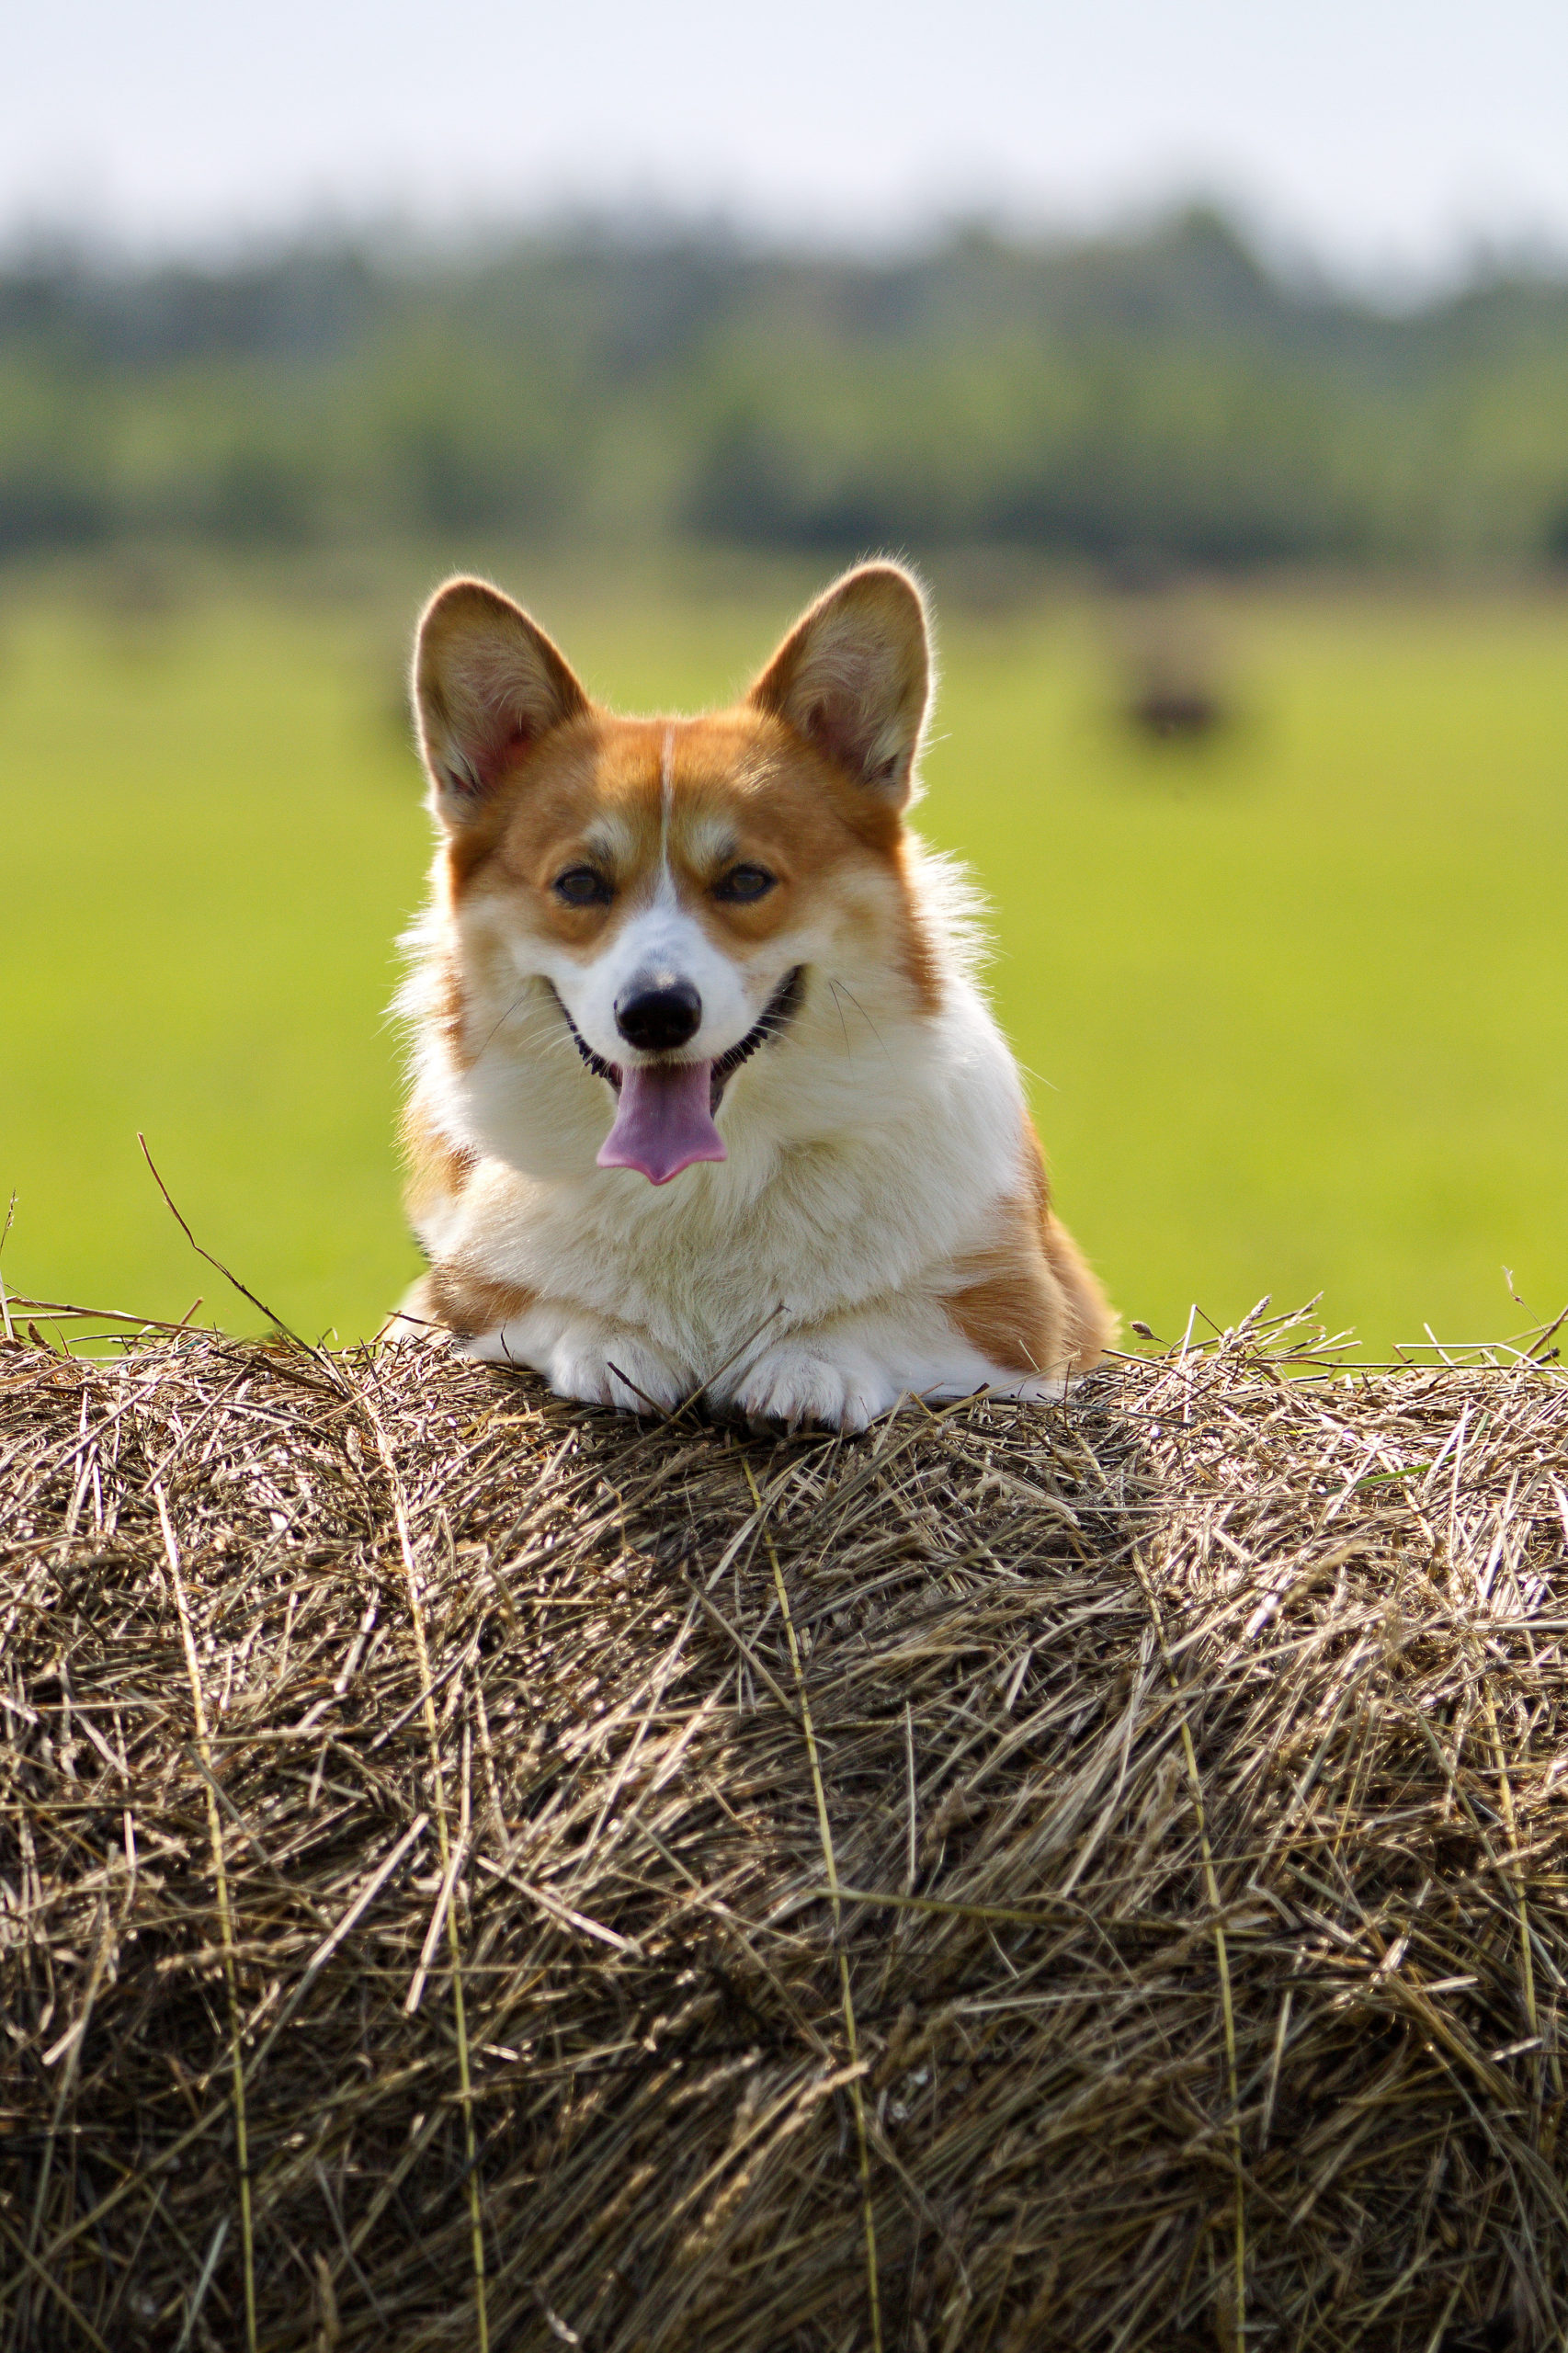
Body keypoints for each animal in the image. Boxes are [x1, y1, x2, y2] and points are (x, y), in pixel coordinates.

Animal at [400, 560, 1111, 1421]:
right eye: (579, 883)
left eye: (745, 880)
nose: (657, 1014)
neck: (709, 1184)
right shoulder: (446, 1298)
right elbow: (533, 1309)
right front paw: (614, 1344)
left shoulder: (1020, 1319)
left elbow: (883, 1317)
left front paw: (808, 1363)